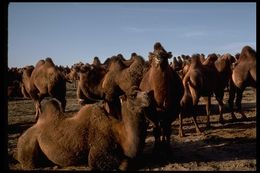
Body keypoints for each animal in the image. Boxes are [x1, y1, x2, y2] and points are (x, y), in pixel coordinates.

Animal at [16, 86, 152, 170]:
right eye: (133, 95)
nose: (148, 95)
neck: (120, 135)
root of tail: (21, 138)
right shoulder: (97, 153)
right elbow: (124, 164)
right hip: (28, 147)